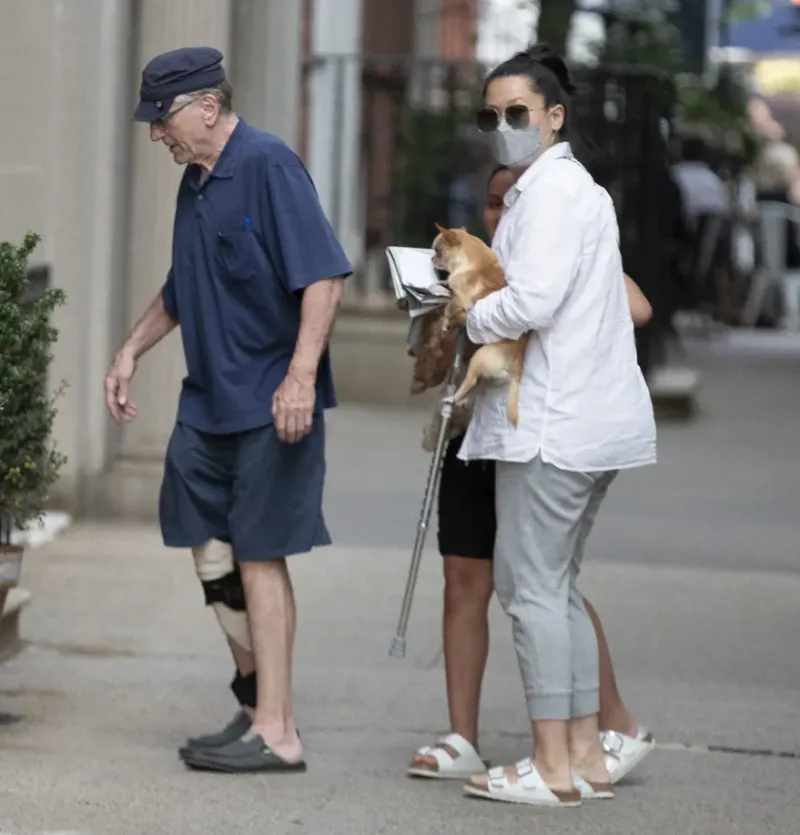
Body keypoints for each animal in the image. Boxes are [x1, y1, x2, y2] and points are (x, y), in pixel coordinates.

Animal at [434, 225, 528, 428]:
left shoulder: (459, 301)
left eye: (438, 251)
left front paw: (445, 323)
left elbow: (448, 308)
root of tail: (518, 361)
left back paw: (454, 398)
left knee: (471, 381)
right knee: (478, 385)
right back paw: (463, 401)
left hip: (479, 359)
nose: (432, 258)